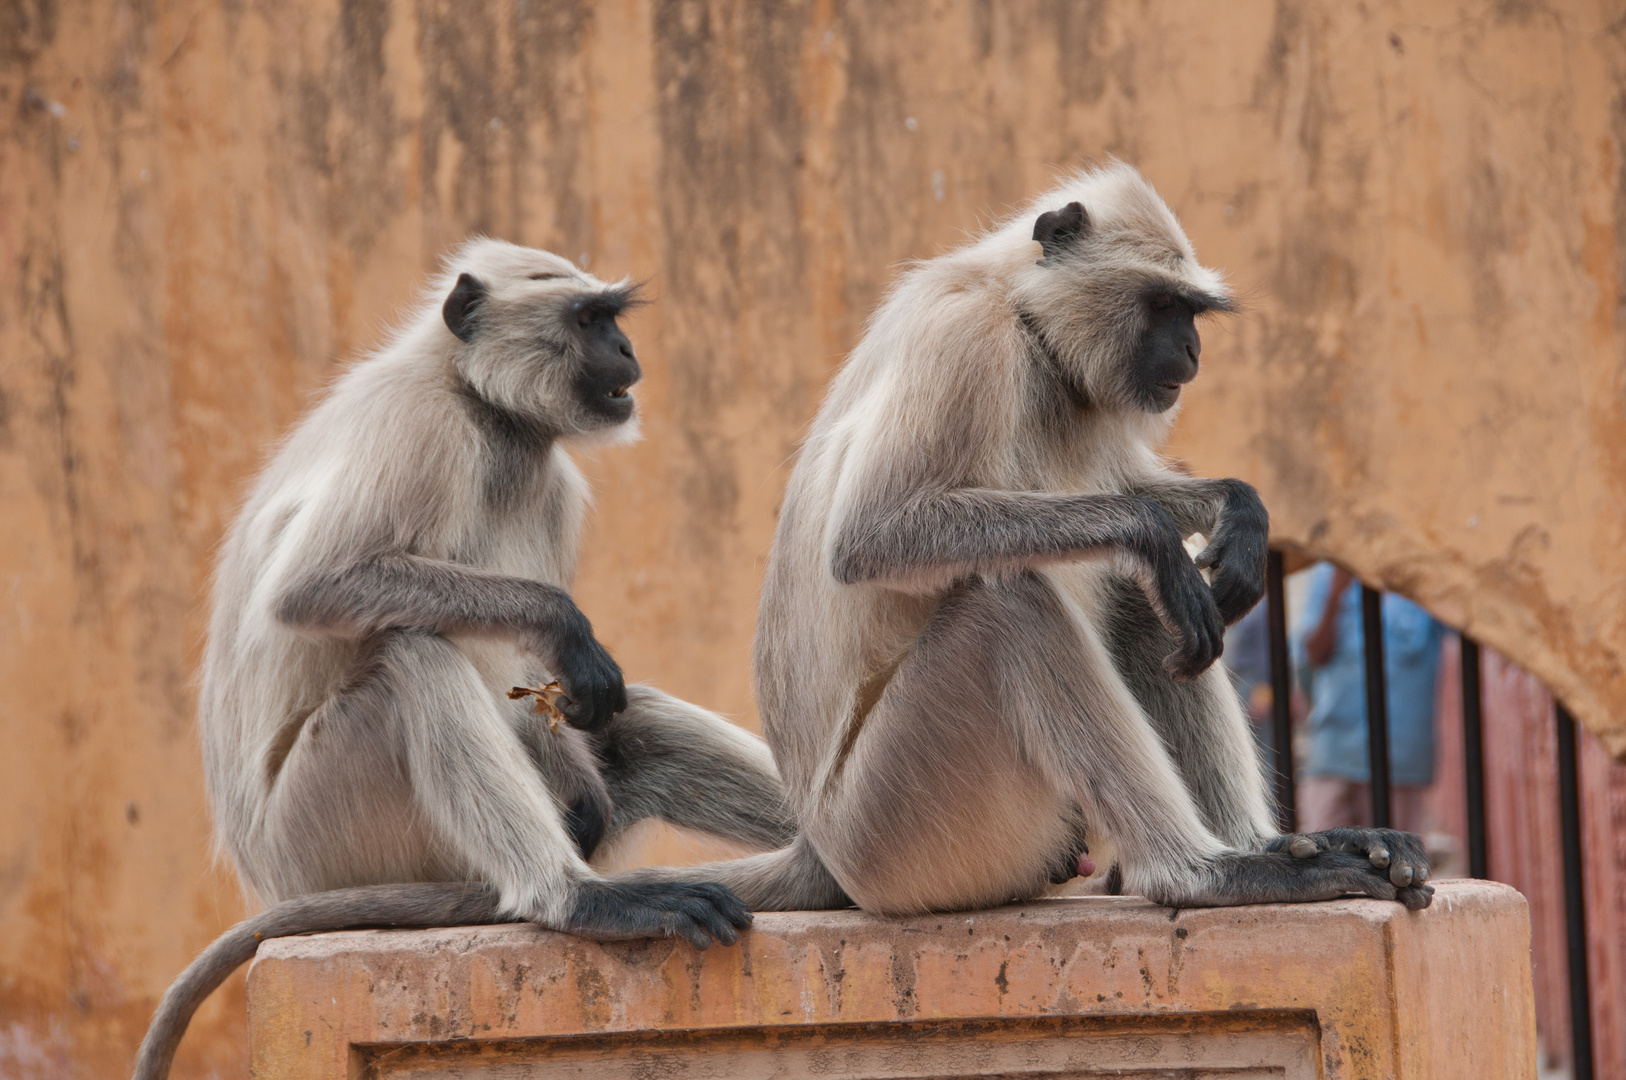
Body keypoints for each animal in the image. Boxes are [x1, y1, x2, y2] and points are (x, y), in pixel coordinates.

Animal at [136, 240, 796, 1080]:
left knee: (623, 723)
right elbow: (314, 587)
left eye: (611, 319)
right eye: (589, 320)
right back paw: (578, 900)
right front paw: (564, 625)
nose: (626, 350)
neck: (480, 404)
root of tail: (263, 871)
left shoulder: (552, 484)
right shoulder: (423, 430)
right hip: (325, 836)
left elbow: (555, 691)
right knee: (414, 658)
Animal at [627, 164, 1430, 923]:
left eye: (1191, 312)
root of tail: (819, 850)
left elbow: (1133, 493)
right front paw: (1158, 537)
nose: (1192, 349)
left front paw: (1240, 512)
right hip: (901, 827)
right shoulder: (966, 336)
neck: (1021, 315)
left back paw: (1259, 844)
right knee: (1011, 600)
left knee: (1139, 604)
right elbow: (871, 536)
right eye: (1164, 306)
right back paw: (1203, 873)